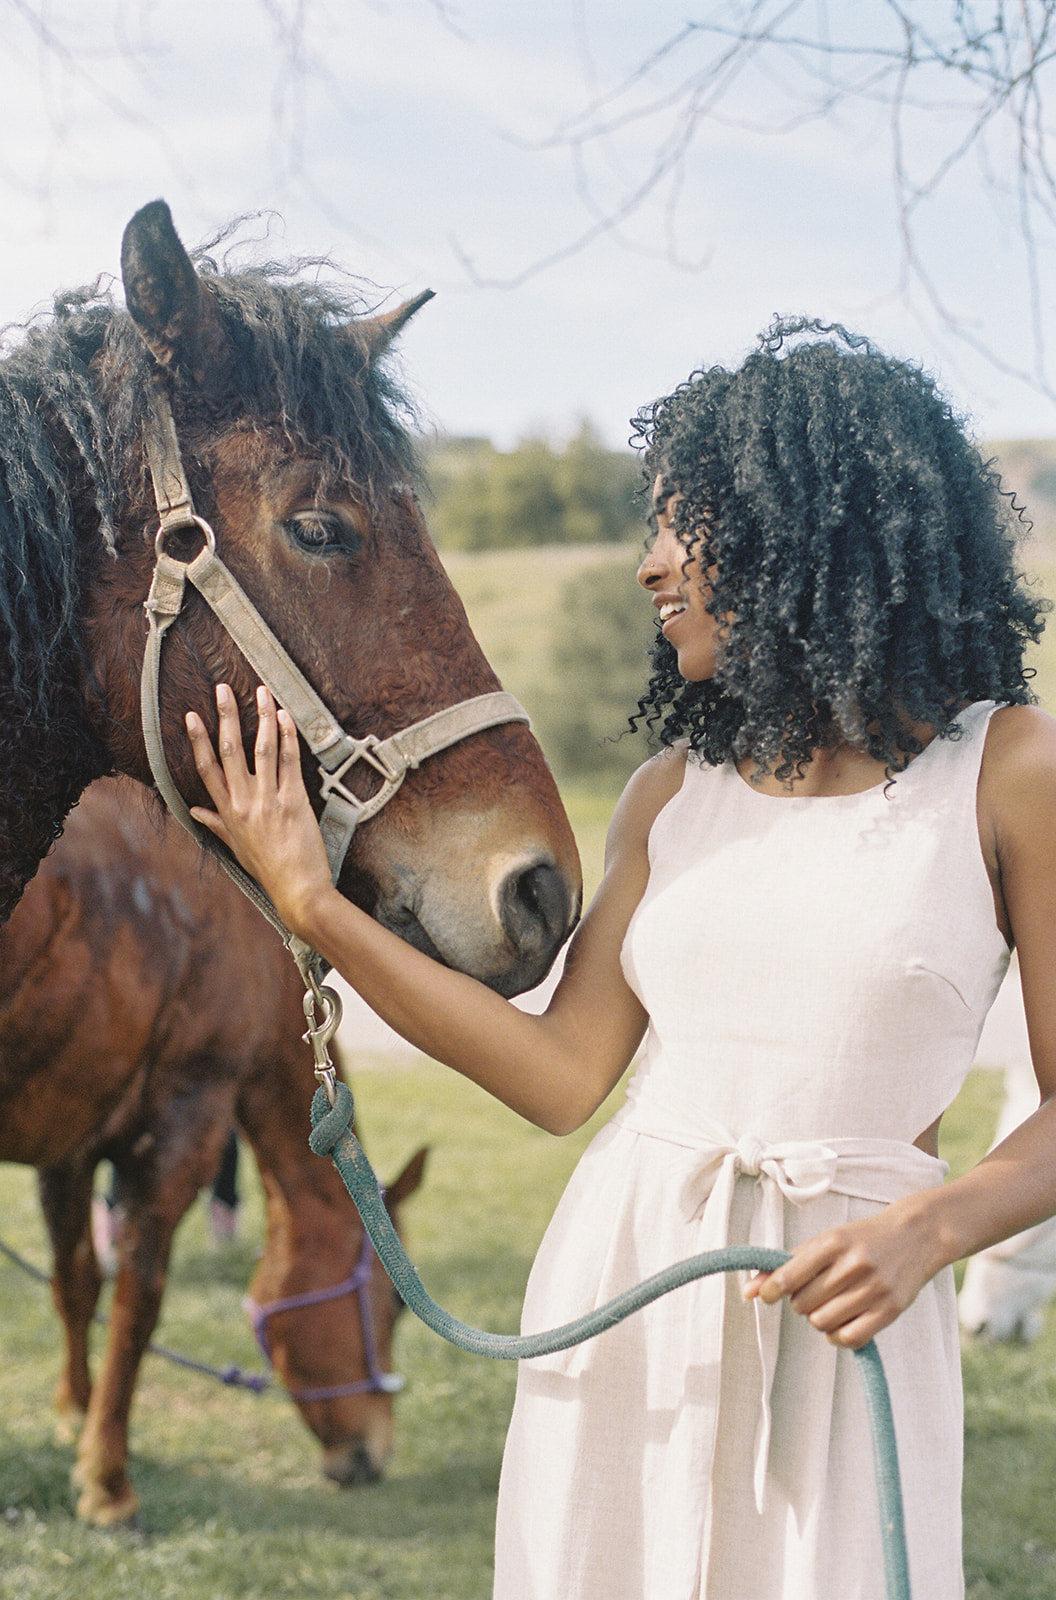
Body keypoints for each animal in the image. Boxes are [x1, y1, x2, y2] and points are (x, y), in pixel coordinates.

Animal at [4, 774, 425, 1523]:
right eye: (395, 1306)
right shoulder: (185, 1120)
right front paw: (108, 1482)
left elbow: (75, 1283)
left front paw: (73, 1415)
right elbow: (137, 1305)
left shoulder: (71, 1142)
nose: (370, 1456)